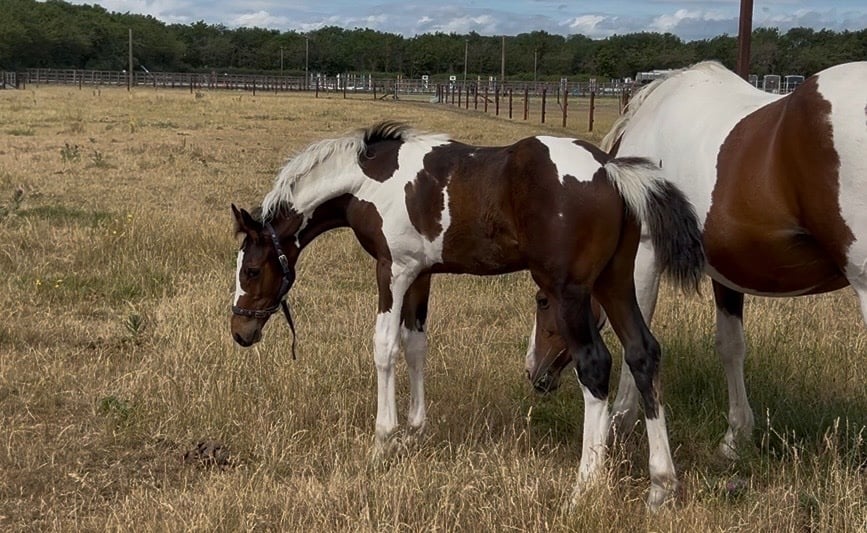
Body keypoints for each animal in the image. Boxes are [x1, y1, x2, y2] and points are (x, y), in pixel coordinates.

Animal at [229, 121, 704, 508]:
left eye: (250, 270)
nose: (240, 330)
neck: (371, 181)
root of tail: (611, 171)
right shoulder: (420, 273)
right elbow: (415, 345)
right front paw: (414, 431)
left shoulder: (392, 270)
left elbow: (385, 347)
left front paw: (383, 442)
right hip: (615, 281)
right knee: (642, 353)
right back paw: (661, 485)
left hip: (570, 292)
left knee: (595, 364)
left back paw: (584, 488)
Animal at [525, 60, 867, 460]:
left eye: (542, 301)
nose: (534, 371)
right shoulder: (727, 274)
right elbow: (731, 346)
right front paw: (734, 438)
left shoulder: (644, 257)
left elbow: (634, 339)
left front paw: (619, 426)